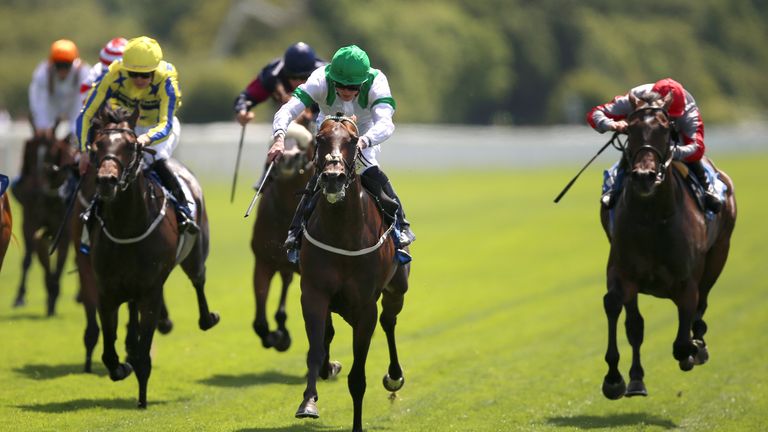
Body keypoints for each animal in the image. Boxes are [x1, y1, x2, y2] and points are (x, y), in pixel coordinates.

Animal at [87, 106, 219, 406]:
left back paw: (207, 318)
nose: (106, 181)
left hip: (196, 253)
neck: (126, 227)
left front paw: (142, 398)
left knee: (199, 281)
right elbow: (109, 353)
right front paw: (122, 366)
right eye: (97, 145)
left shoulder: (150, 292)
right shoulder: (106, 292)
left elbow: (144, 353)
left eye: (130, 146)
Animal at [250, 118, 314, 352]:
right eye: (278, 142)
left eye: (306, 144)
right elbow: (259, 323)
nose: (287, 158)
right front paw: (276, 337)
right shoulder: (263, 262)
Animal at [294, 115, 412, 432]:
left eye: (352, 140)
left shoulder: (365, 307)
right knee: (330, 333)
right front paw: (308, 402)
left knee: (389, 321)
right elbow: (314, 350)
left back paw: (394, 376)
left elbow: (358, 378)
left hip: (397, 288)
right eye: (320, 139)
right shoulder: (314, 293)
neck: (343, 233)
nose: (333, 177)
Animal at [596, 93, 736, 400]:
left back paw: (699, 344)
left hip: (719, 254)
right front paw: (614, 378)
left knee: (702, 303)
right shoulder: (622, 271)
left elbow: (683, 339)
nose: (644, 176)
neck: (652, 219)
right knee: (634, 324)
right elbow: (617, 308)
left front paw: (692, 349)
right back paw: (636, 379)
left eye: (664, 130)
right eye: (630, 130)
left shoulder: (687, 281)